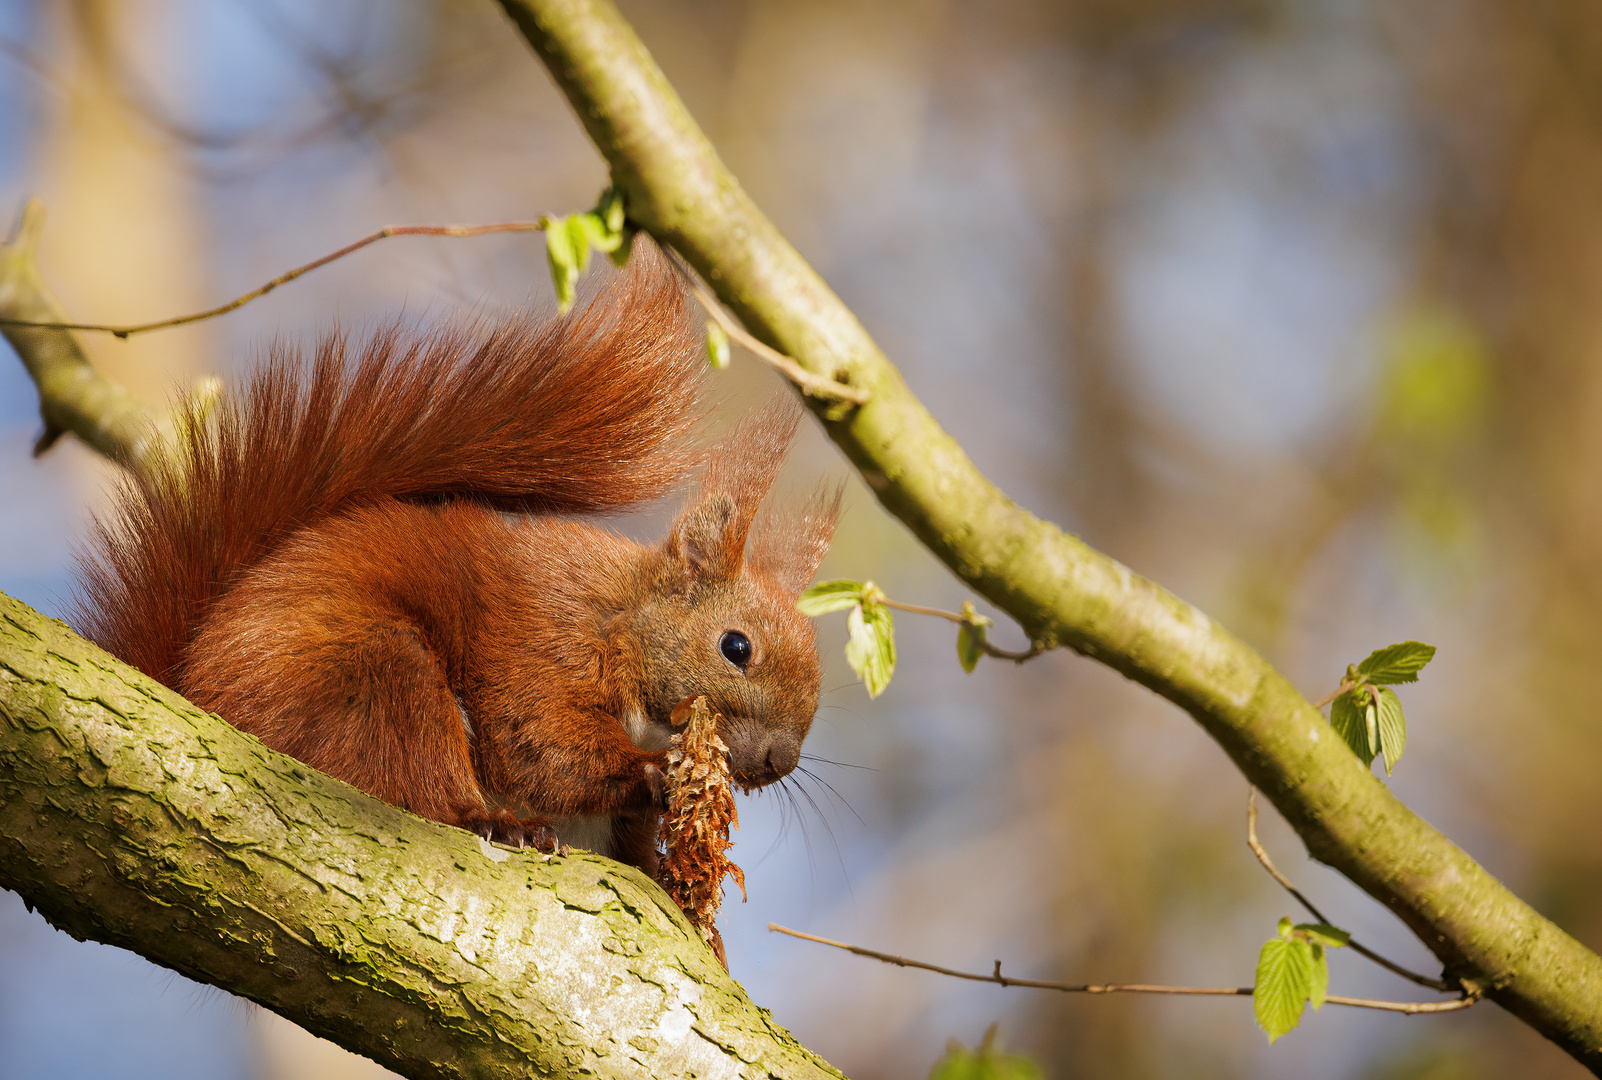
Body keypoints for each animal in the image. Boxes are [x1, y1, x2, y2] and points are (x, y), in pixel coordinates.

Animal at [78, 248, 839, 871]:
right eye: (736, 647)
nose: (778, 762)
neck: (620, 614)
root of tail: (191, 686)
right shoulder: (545, 641)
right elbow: (544, 748)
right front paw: (660, 770)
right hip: (375, 677)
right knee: (413, 782)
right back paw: (494, 822)